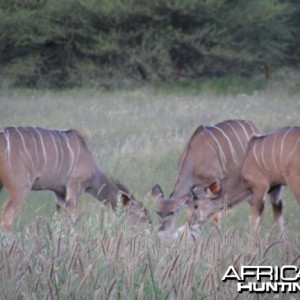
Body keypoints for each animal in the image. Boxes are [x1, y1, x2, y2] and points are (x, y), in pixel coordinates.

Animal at [0, 126, 149, 230]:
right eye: (141, 215)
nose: (149, 227)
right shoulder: (74, 185)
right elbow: (72, 220)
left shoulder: (59, 193)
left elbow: (63, 221)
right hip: (20, 188)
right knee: (6, 217)